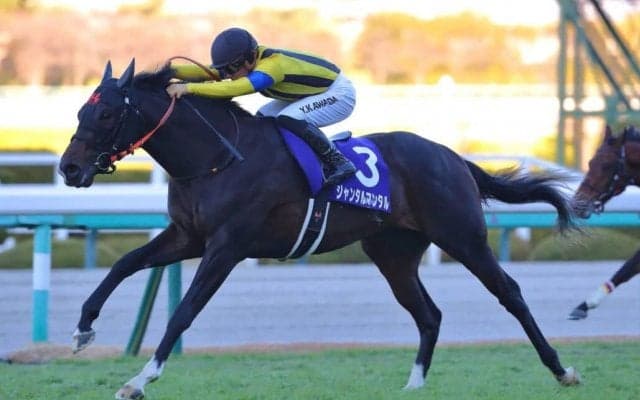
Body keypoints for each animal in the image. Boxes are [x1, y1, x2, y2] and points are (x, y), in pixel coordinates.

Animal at [59, 59, 581, 399]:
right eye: (81, 111)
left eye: (106, 113)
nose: (68, 168)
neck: (217, 158)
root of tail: (452, 156)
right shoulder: (188, 236)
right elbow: (125, 264)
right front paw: (83, 328)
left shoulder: (227, 245)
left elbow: (184, 312)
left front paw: (140, 379)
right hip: (392, 252)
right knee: (428, 313)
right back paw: (413, 384)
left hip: (462, 236)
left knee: (509, 293)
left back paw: (562, 370)